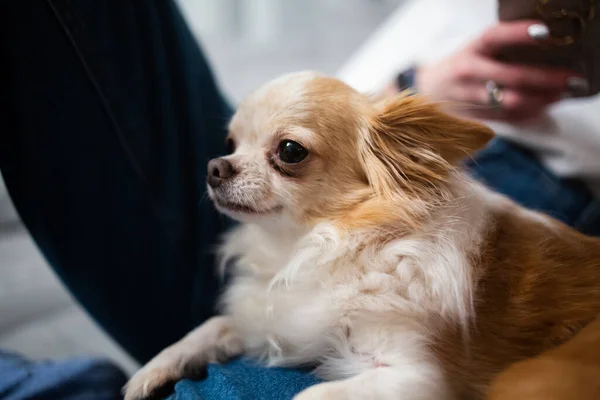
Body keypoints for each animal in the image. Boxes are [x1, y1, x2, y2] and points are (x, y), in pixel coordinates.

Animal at [123, 72, 600, 400]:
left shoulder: (418, 377)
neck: (317, 243)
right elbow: (217, 324)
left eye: (290, 151)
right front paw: (155, 367)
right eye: (230, 143)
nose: (214, 167)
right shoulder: (285, 318)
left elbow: (309, 396)